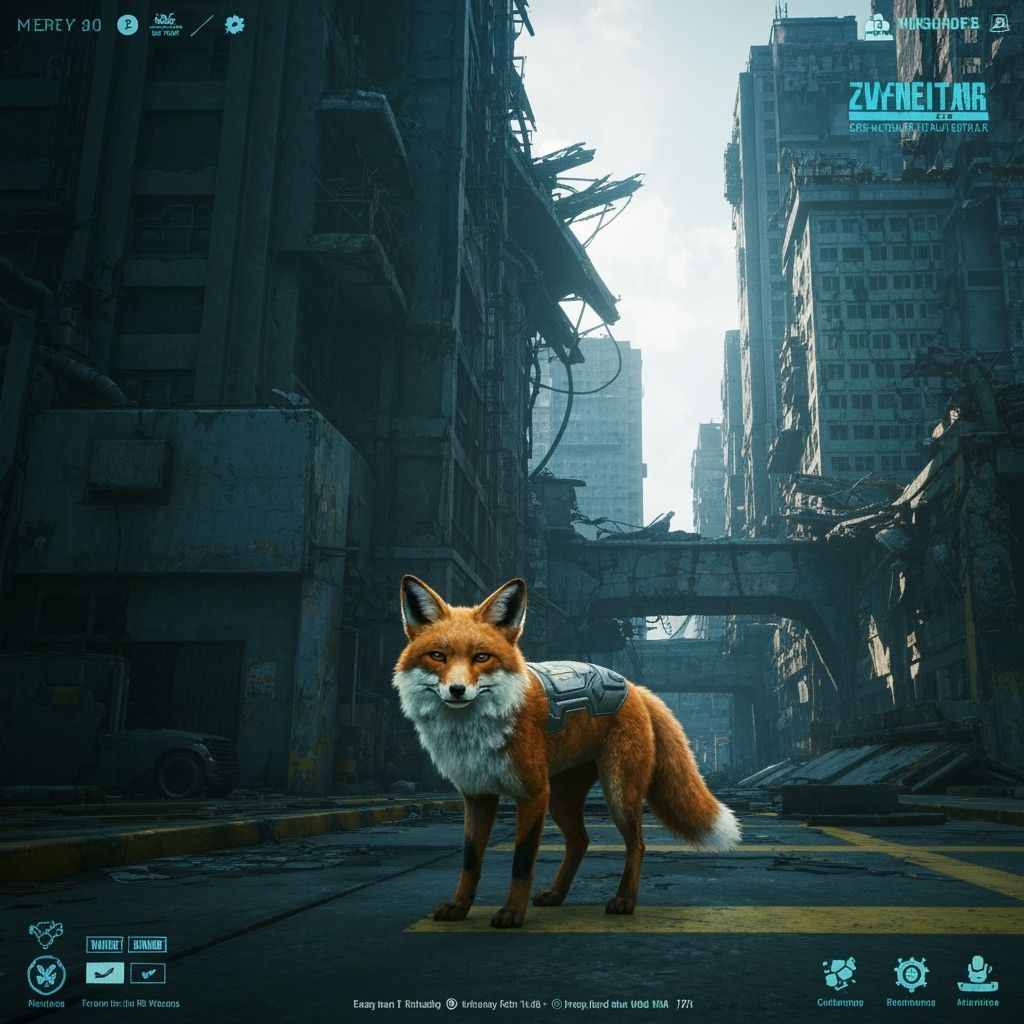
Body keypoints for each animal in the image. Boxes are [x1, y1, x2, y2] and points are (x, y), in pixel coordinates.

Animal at [392, 575, 741, 929]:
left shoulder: (532, 793)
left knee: (637, 844)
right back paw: (556, 894)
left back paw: (624, 900)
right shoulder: (478, 796)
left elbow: (522, 861)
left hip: (616, 793)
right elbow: (470, 860)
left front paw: (512, 913)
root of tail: (635, 688)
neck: (477, 730)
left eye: (481, 657)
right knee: (580, 841)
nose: (457, 690)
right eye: (438, 656)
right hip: (561, 798)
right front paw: (460, 907)